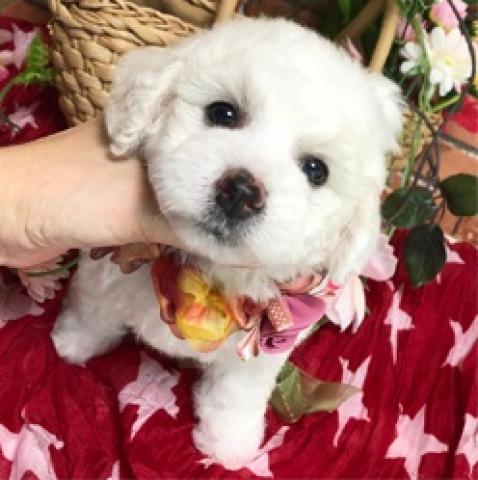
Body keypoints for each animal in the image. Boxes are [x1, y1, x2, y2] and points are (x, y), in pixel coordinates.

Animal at [52, 17, 402, 470]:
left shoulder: (265, 349)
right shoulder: (109, 266)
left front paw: (229, 445)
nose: (241, 192)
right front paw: (72, 343)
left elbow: (237, 394)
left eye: (315, 170)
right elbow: (93, 310)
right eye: (223, 112)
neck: (205, 272)